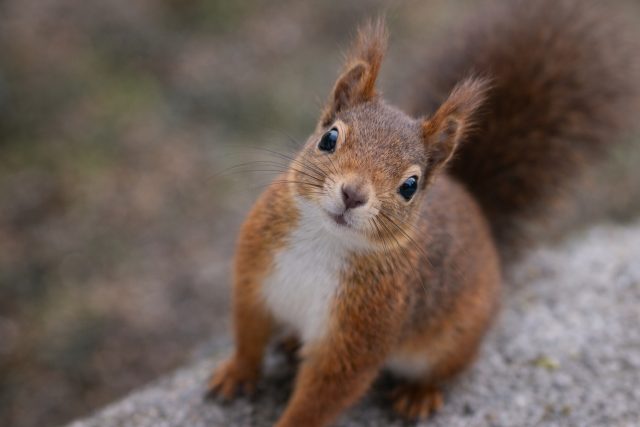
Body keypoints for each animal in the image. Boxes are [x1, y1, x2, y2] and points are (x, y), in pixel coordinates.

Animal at [206, 0, 638, 426]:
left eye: (410, 186)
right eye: (329, 138)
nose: (353, 194)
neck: (324, 242)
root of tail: (481, 220)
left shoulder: (361, 334)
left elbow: (322, 396)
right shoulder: (254, 277)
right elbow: (249, 334)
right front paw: (236, 373)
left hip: (453, 338)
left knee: (446, 369)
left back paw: (419, 394)